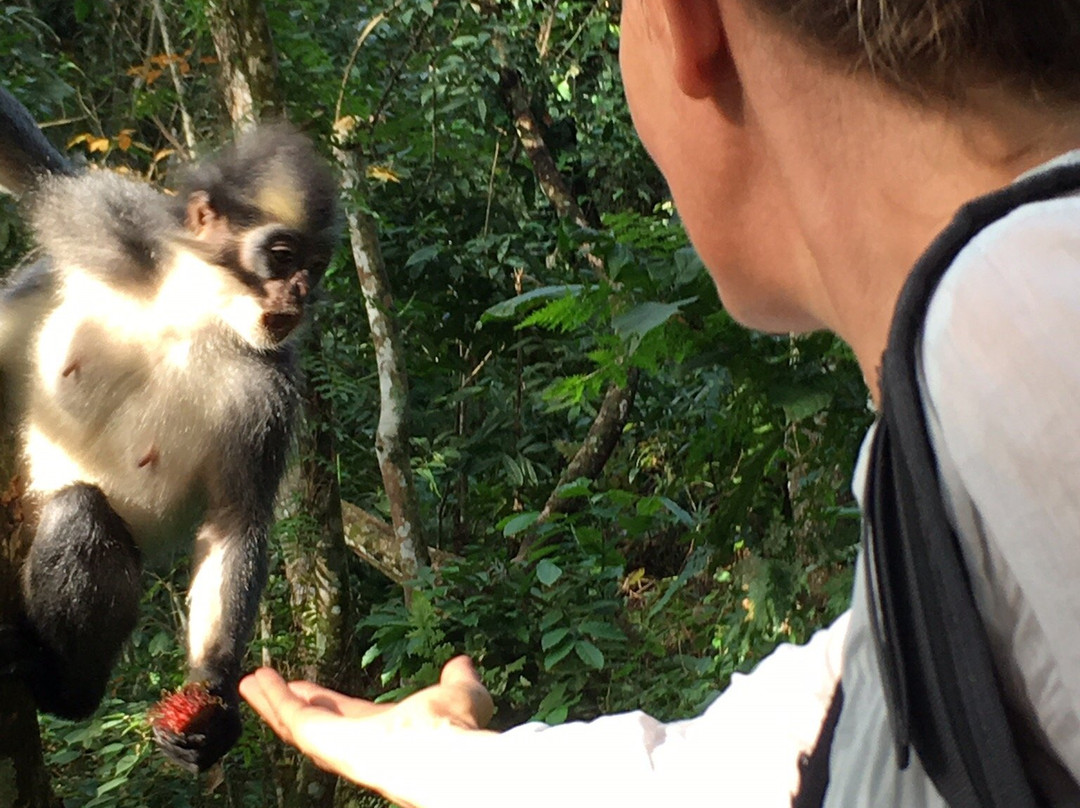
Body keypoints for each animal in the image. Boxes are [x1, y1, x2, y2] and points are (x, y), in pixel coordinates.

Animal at [0, 86, 340, 772]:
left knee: (79, 512)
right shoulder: (109, 225)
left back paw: (71, 692)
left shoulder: (267, 391)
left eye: (315, 268)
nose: (298, 293)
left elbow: (235, 522)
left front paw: (212, 701)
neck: (193, 318)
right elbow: (27, 166)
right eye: (282, 257)